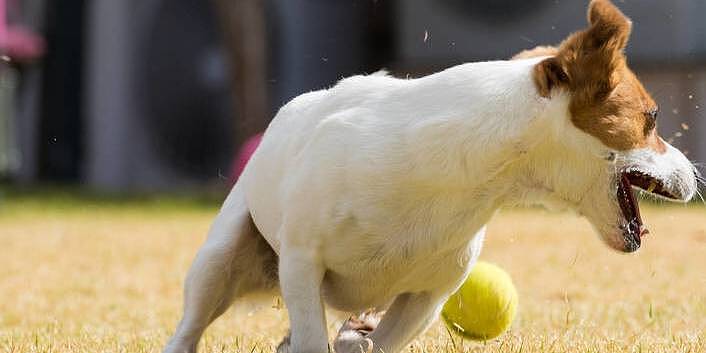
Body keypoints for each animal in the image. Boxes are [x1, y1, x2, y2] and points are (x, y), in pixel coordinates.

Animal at [162, 1, 696, 350]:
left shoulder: (427, 297)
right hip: (220, 260)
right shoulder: (300, 262)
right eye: (651, 119)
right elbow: (314, 338)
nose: (694, 173)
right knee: (191, 326)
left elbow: (377, 342)